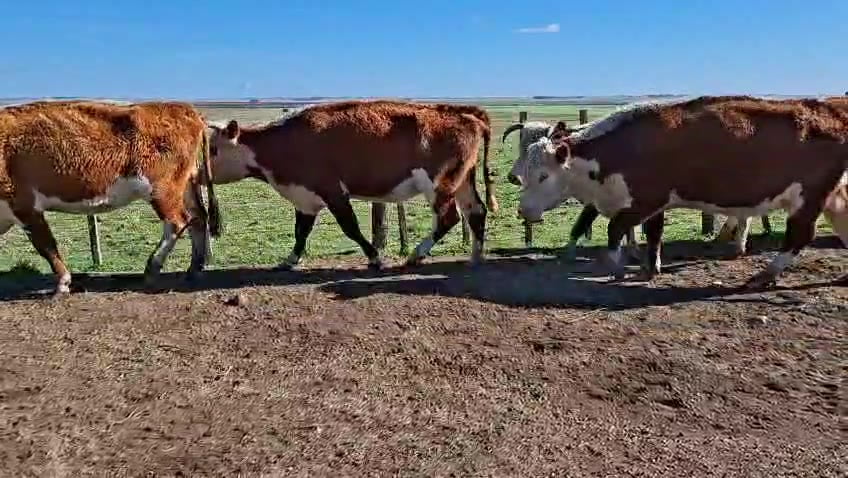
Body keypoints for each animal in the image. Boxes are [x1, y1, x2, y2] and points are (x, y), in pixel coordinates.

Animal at [0, 100, 221, 296]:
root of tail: (186, 109)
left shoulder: (24, 205)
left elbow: (46, 246)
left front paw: (63, 283)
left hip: (163, 191)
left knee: (177, 222)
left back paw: (152, 268)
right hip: (186, 187)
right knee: (198, 218)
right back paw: (194, 268)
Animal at [206, 100, 496, 270]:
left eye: (212, 149)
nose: (198, 172)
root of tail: (465, 112)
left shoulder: (333, 191)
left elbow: (350, 227)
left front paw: (374, 257)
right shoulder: (305, 197)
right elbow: (301, 232)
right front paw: (290, 259)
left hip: (440, 184)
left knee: (449, 217)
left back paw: (416, 254)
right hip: (463, 180)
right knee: (476, 211)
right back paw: (476, 255)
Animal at [517, 95, 848, 288]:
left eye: (543, 176)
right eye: (524, 174)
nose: (523, 210)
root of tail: (831, 114)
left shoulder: (646, 200)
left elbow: (615, 230)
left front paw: (617, 268)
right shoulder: (654, 207)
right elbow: (654, 236)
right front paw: (650, 269)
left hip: (809, 198)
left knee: (800, 235)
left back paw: (765, 275)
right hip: (832, 197)